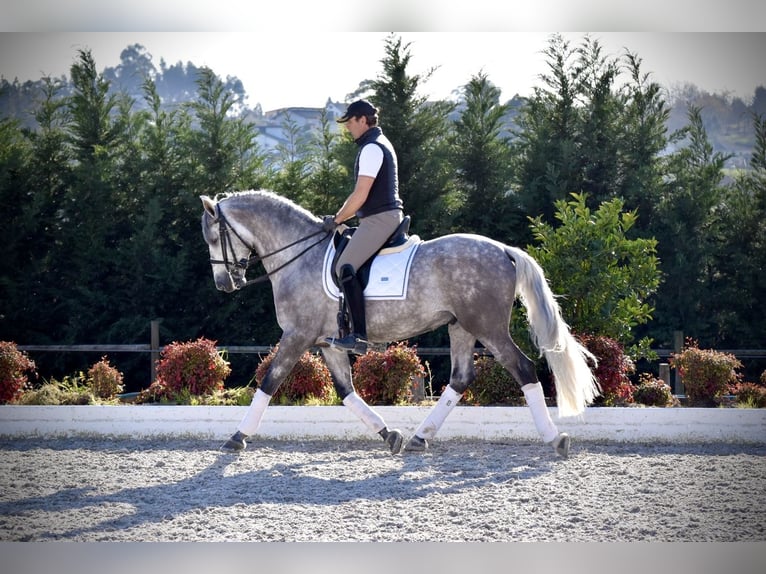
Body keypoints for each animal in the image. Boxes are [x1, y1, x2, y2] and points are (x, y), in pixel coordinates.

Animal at [200, 190, 600, 458]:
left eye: (213, 237)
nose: (223, 284)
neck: (299, 255)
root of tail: (504, 250)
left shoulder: (298, 336)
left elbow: (270, 381)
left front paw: (238, 436)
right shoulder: (328, 343)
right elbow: (346, 392)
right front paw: (388, 434)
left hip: (488, 327)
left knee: (523, 368)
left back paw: (554, 438)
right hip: (461, 327)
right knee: (461, 378)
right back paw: (420, 437)